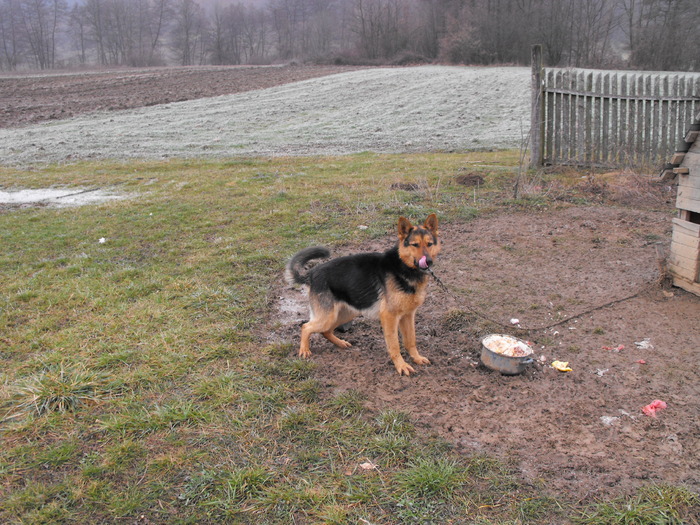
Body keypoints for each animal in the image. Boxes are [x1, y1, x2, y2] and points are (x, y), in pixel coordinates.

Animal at [286, 215, 440, 374]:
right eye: (415, 245)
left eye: (429, 244)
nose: (428, 261)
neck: (403, 266)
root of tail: (312, 273)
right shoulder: (390, 317)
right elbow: (395, 345)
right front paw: (401, 366)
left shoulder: (408, 316)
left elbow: (411, 341)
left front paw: (416, 358)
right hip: (327, 317)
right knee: (306, 327)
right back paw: (304, 350)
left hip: (345, 314)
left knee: (325, 331)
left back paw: (340, 343)